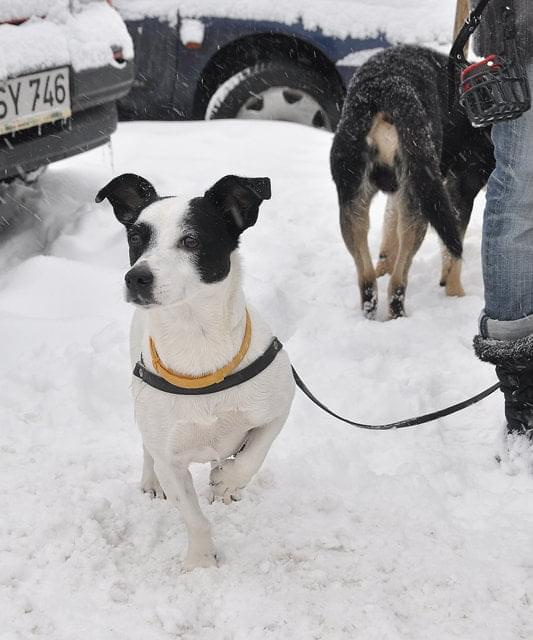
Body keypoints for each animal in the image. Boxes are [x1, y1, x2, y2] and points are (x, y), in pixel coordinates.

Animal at [96, 174, 296, 568]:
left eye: (191, 240)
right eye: (135, 238)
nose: (136, 277)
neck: (198, 345)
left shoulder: (281, 404)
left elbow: (256, 451)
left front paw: (228, 480)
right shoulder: (171, 460)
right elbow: (193, 516)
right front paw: (202, 561)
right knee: (147, 448)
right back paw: (150, 480)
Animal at [328, 43, 494, 318]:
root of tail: (387, 85)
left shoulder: (402, 193)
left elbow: (389, 234)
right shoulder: (460, 188)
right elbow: (453, 250)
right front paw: (455, 292)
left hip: (356, 202)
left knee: (368, 279)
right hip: (421, 201)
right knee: (397, 283)